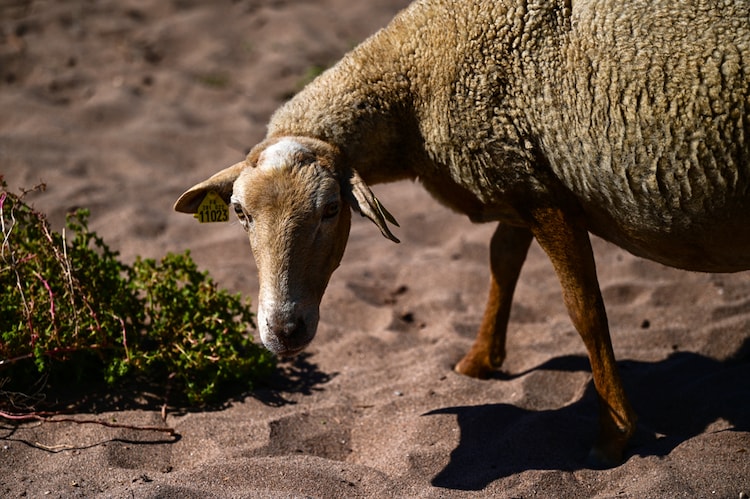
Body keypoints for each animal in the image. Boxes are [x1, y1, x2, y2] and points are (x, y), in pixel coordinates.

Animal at [174, 0, 750, 467]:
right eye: (240, 214)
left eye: (332, 209)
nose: (284, 331)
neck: (416, 75)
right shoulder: (517, 180)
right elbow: (501, 262)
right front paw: (476, 363)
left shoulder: (545, 194)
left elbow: (584, 311)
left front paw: (613, 436)